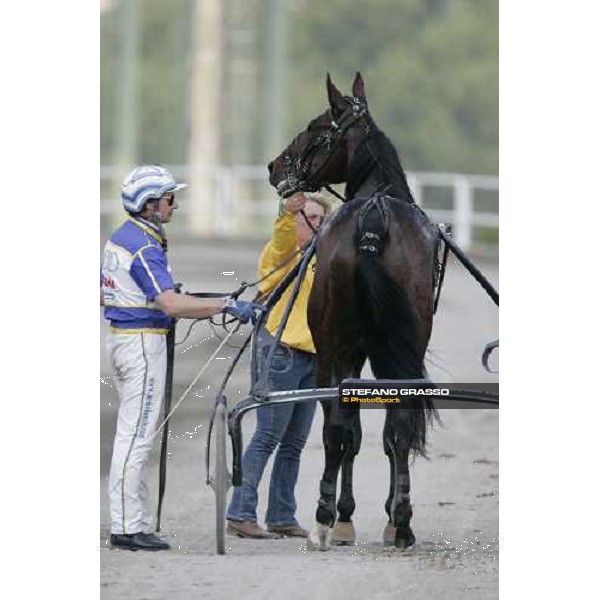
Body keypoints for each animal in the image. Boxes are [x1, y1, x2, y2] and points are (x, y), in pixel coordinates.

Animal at [268, 72, 440, 552]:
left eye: (315, 125)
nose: (274, 166)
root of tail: (373, 221)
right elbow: (380, 432)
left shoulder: (338, 352)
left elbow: (349, 431)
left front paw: (342, 515)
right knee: (398, 425)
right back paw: (402, 523)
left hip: (336, 348)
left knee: (338, 429)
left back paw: (327, 521)